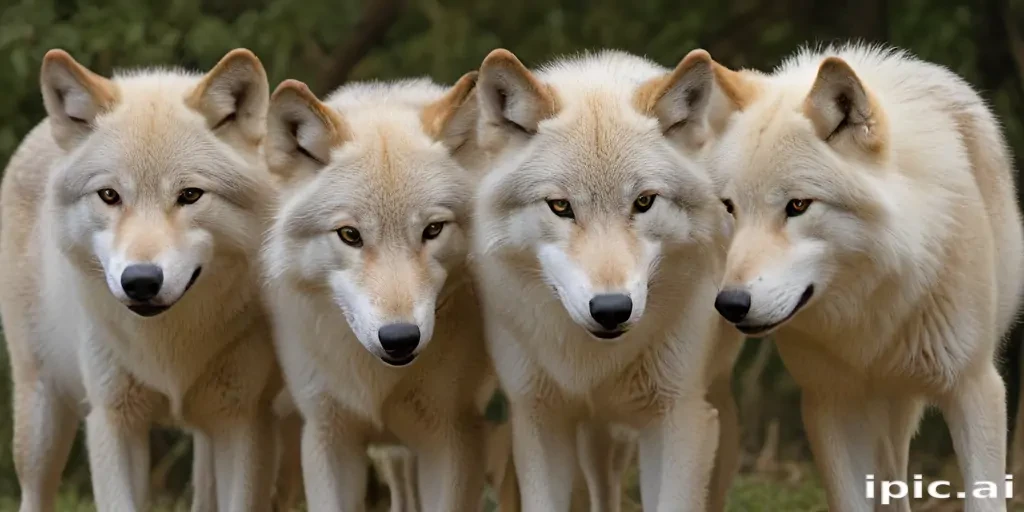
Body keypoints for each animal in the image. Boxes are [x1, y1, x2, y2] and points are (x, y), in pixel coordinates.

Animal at [0, 48, 281, 512]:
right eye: (109, 195)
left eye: (190, 195)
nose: (141, 281)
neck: (168, 345)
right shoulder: (113, 421)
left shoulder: (242, 421)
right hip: (42, 422)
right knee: (35, 493)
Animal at [261, 73, 502, 512]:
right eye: (349, 235)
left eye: (432, 230)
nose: (399, 338)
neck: (378, 379)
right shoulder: (328, 437)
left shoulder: (454, 438)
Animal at [471, 47, 744, 512]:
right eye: (560, 206)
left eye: (644, 202)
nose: (612, 309)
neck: (594, 362)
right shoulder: (538, 419)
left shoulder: (681, 418)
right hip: (594, 434)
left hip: (715, 413)